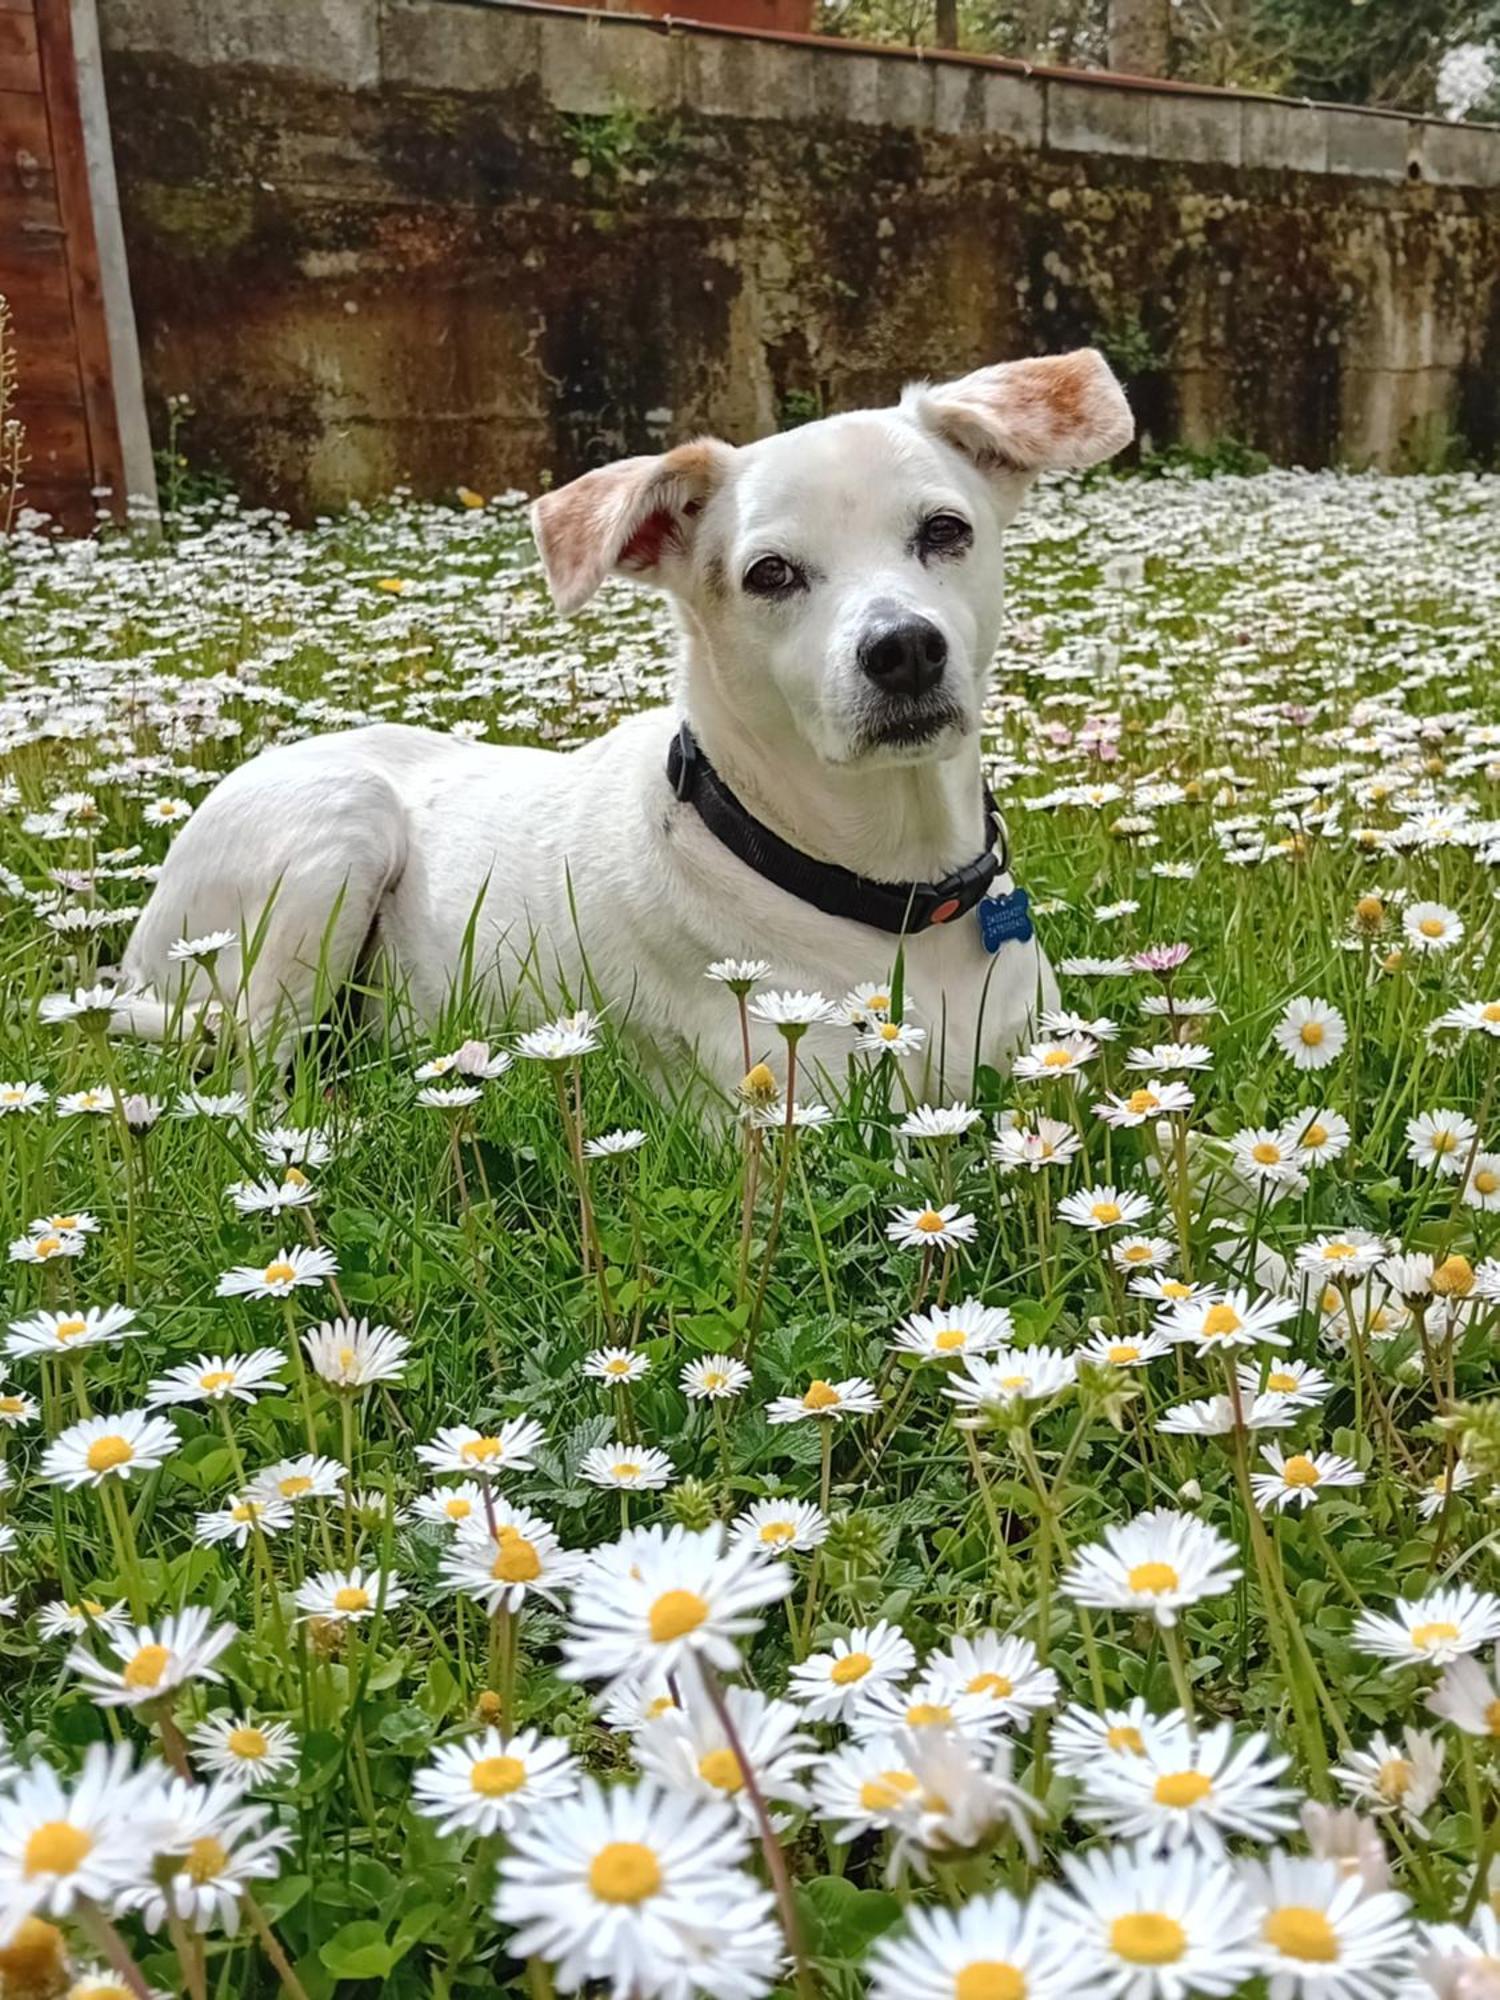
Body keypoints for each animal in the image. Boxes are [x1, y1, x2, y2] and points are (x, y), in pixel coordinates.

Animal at [117, 348, 1136, 1096]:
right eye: (770, 573)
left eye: (945, 530)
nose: (905, 650)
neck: (888, 891)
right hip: (337, 833)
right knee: (253, 1073)